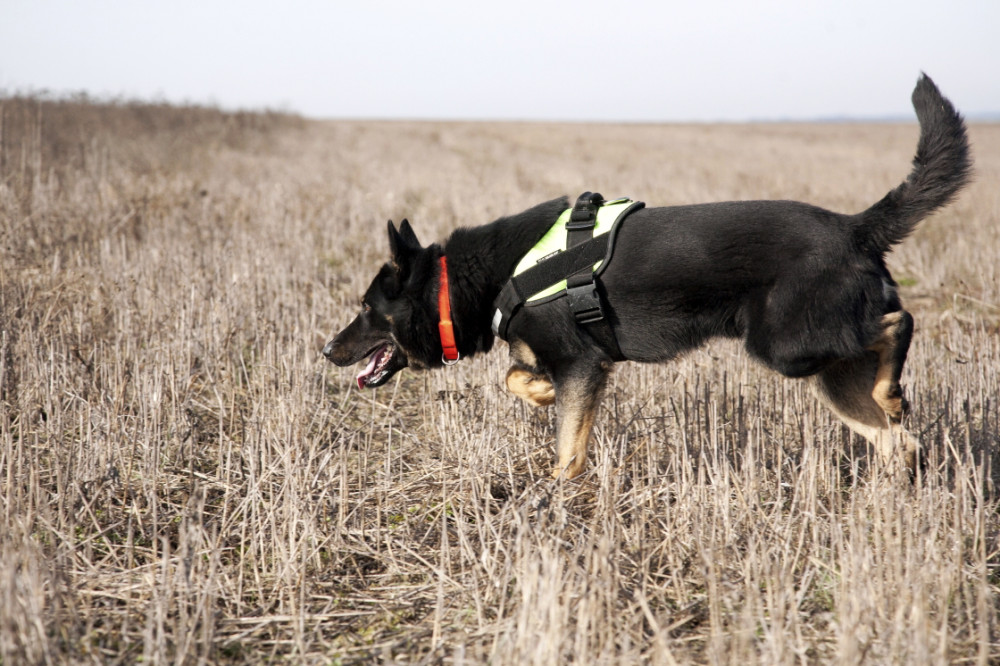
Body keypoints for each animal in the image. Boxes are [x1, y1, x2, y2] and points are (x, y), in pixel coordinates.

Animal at [324, 74, 972, 478]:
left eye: (365, 309)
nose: (327, 349)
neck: (478, 277)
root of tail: (854, 227)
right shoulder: (571, 364)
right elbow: (515, 376)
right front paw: (537, 392)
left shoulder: (581, 365)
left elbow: (566, 448)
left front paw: (556, 498)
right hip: (829, 371)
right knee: (900, 440)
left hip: (789, 346)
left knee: (898, 323)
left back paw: (892, 392)